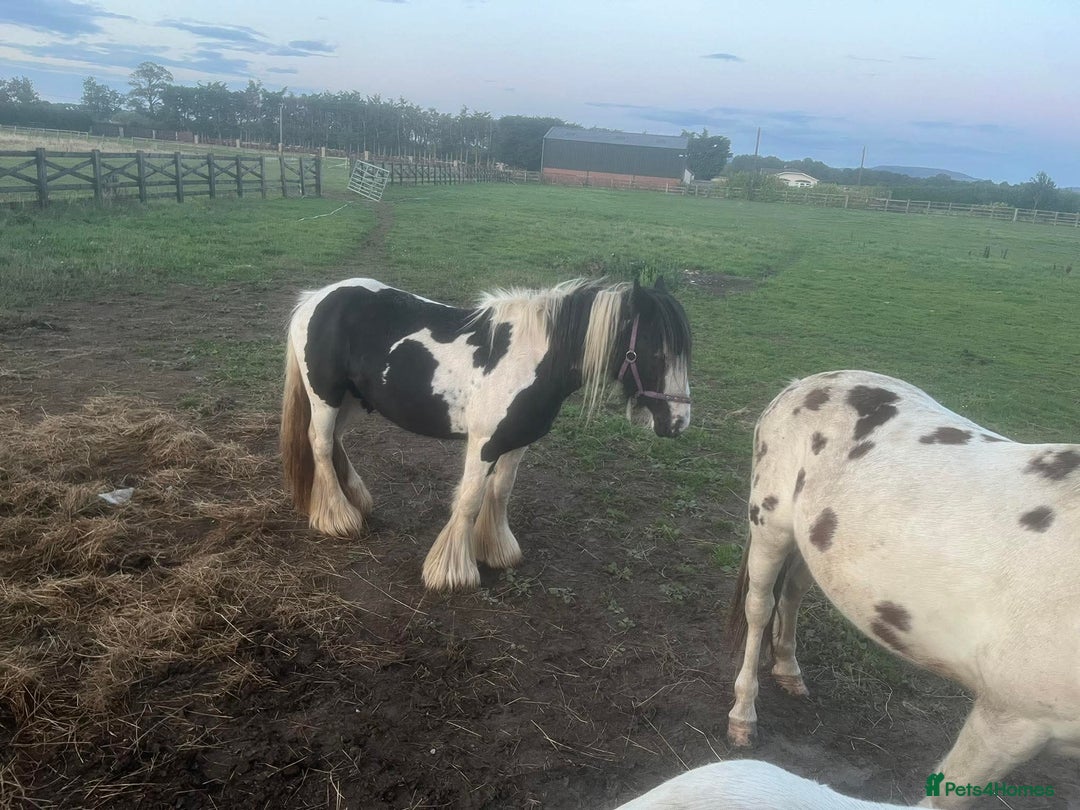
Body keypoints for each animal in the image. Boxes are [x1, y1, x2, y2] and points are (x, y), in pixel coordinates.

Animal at [280, 276, 692, 592]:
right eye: (656, 354)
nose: (679, 422)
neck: (533, 360)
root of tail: (314, 298)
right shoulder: (483, 444)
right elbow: (470, 499)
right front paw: (451, 572)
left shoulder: (517, 443)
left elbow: (500, 492)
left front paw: (496, 549)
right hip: (325, 397)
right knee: (320, 445)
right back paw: (338, 518)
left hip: (350, 400)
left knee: (334, 442)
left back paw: (355, 499)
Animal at [726, 370, 1080, 808]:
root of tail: (803, 383)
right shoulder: (1008, 720)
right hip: (770, 528)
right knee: (759, 608)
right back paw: (743, 715)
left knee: (791, 595)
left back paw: (788, 670)